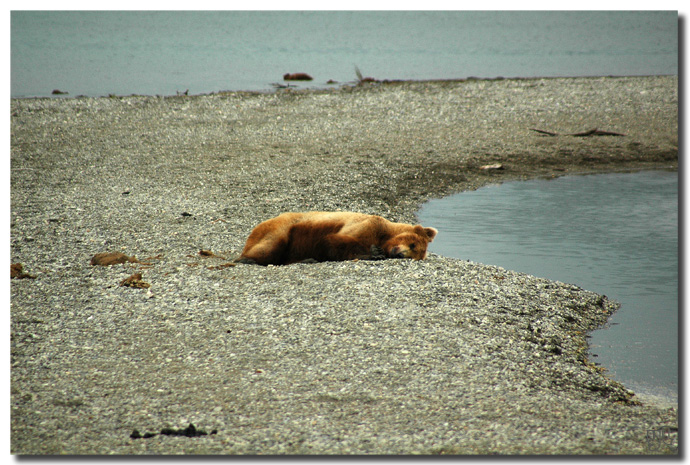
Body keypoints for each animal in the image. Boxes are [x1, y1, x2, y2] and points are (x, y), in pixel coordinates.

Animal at [232, 210, 436, 264]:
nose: (400, 254)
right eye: (412, 244)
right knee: (272, 244)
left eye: (414, 254)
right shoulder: (367, 225)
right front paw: (374, 252)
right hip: (281, 228)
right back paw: (247, 259)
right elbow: (334, 242)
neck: (385, 236)